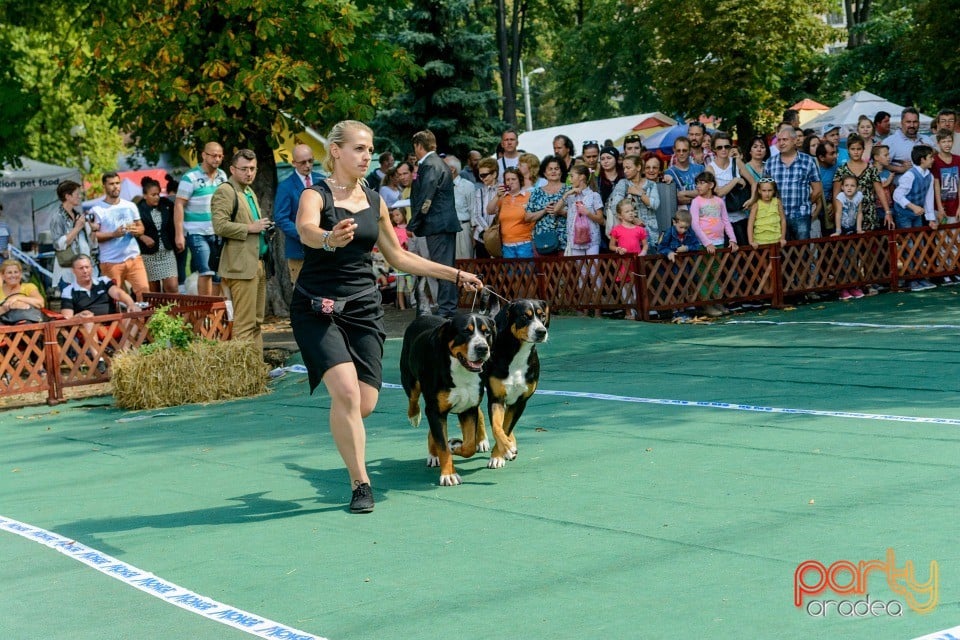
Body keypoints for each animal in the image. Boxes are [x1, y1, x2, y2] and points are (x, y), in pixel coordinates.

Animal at [402, 314, 498, 484]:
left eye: (487, 332)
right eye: (466, 331)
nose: (482, 348)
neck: (461, 371)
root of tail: (423, 316)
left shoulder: (468, 408)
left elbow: (469, 445)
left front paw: (455, 446)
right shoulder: (435, 411)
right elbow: (442, 445)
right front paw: (448, 475)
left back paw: (481, 441)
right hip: (409, 379)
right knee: (413, 398)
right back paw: (415, 418)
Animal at [480, 300, 548, 470]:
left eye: (542, 315)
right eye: (524, 316)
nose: (541, 331)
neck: (518, 354)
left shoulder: (520, 402)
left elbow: (506, 426)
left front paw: (500, 453)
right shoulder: (496, 398)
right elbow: (497, 427)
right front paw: (503, 451)